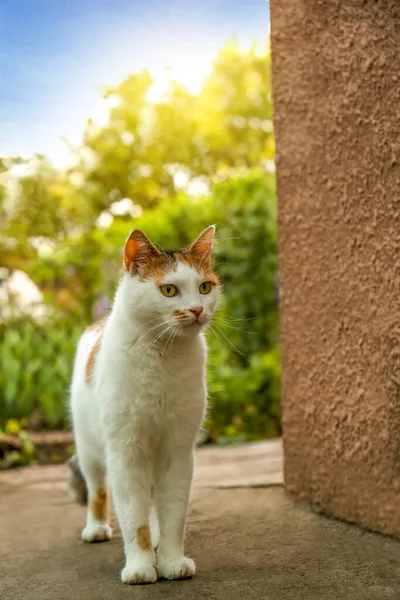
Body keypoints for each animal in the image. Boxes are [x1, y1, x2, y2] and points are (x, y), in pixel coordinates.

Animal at [67, 224, 220, 580]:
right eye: (169, 290)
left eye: (205, 287)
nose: (197, 309)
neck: (164, 356)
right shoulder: (126, 453)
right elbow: (132, 518)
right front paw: (139, 567)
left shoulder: (177, 452)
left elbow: (173, 514)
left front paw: (171, 561)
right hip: (90, 450)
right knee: (97, 491)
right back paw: (96, 529)